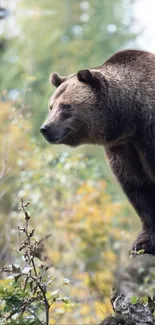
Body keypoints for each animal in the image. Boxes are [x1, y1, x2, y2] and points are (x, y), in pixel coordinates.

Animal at [40, 49, 155, 254]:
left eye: (66, 106)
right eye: (51, 106)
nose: (46, 128)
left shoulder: (147, 135)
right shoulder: (123, 148)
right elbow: (137, 186)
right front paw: (142, 243)